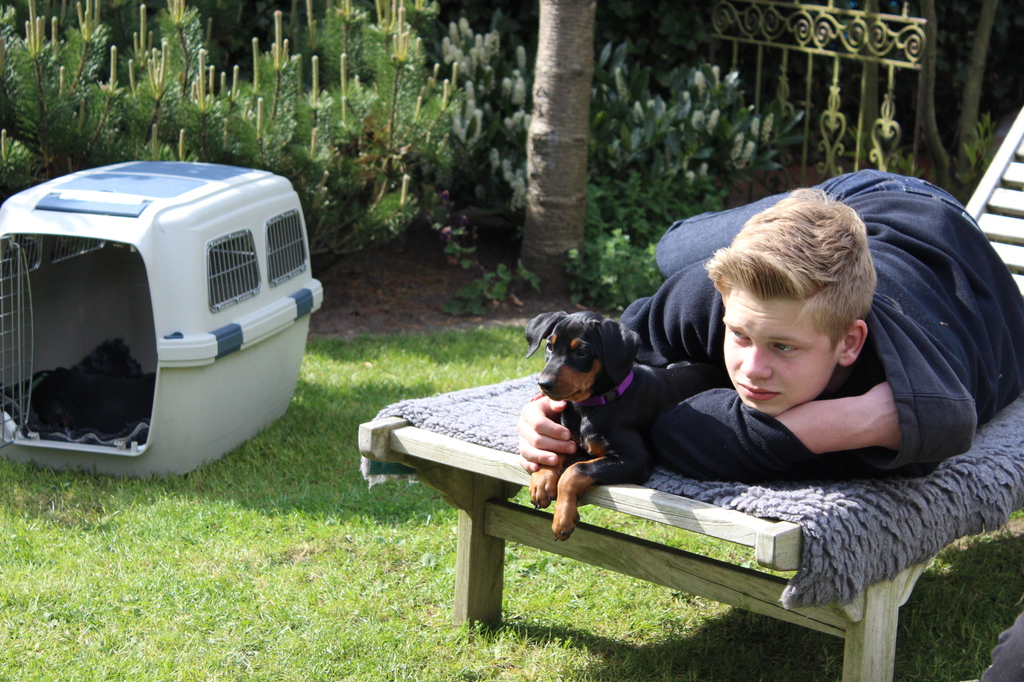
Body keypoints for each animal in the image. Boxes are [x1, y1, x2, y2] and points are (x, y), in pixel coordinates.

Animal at [525, 311, 729, 540]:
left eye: (582, 352)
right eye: (549, 346)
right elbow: (552, 452)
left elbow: (576, 470)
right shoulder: (571, 441)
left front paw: (562, 519)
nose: (544, 384)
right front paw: (542, 480)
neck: (591, 407)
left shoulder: (636, 460)